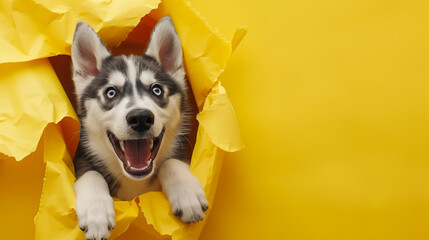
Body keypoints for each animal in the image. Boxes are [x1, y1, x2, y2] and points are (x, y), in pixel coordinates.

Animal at [70, 17, 207, 240]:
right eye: (110, 93)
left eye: (157, 90)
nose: (140, 118)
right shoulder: (80, 159)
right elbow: (91, 174)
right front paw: (96, 212)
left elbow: (171, 162)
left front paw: (187, 193)